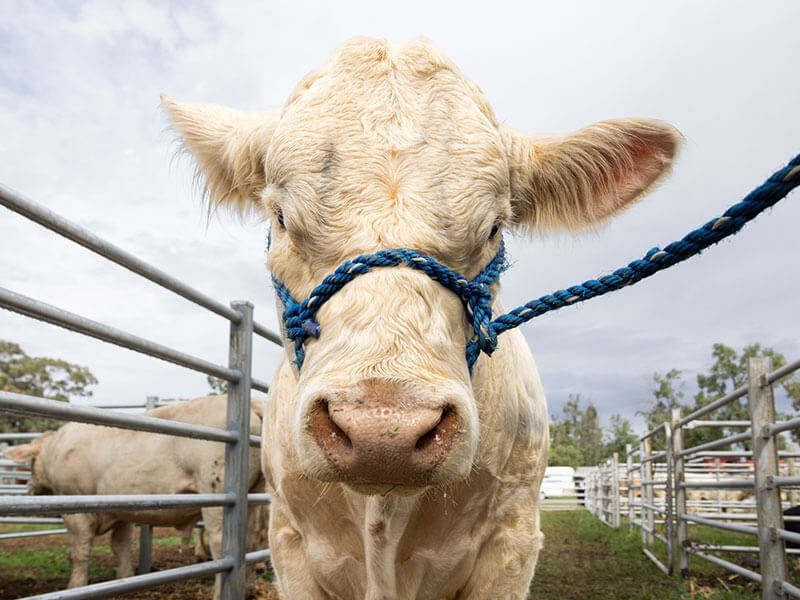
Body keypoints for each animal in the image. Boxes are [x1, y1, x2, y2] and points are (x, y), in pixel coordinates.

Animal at [2, 396, 266, 596]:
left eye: (31, 463)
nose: (29, 488)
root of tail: (254, 403)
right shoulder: (122, 510)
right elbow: (121, 546)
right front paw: (124, 577)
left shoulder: (76, 504)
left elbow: (79, 552)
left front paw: (74, 586)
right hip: (255, 494)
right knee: (251, 541)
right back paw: (249, 589)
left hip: (215, 492)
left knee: (223, 545)